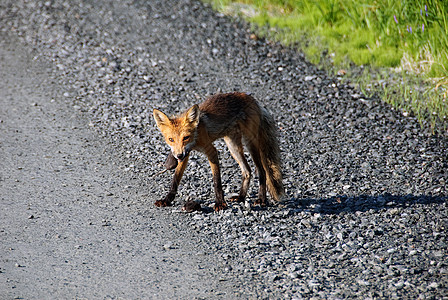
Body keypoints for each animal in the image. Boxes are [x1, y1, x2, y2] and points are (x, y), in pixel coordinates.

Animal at [152, 91, 282, 211]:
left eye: (186, 137)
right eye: (171, 139)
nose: (178, 155)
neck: (196, 137)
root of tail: (253, 100)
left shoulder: (211, 151)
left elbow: (216, 181)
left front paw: (220, 203)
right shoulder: (186, 154)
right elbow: (175, 179)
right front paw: (167, 200)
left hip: (250, 142)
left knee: (262, 171)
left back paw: (261, 199)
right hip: (232, 146)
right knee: (247, 171)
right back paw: (241, 197)